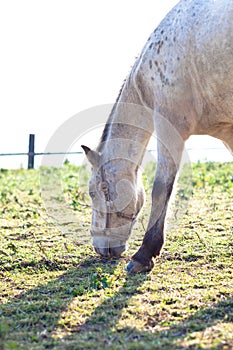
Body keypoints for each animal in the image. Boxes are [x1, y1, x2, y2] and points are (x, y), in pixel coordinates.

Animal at [81, 0, 232, 274]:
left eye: (95, 192)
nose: (100, 247)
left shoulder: (168, 127)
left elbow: (161, 188)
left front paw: (144, 253)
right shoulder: (228, 132)